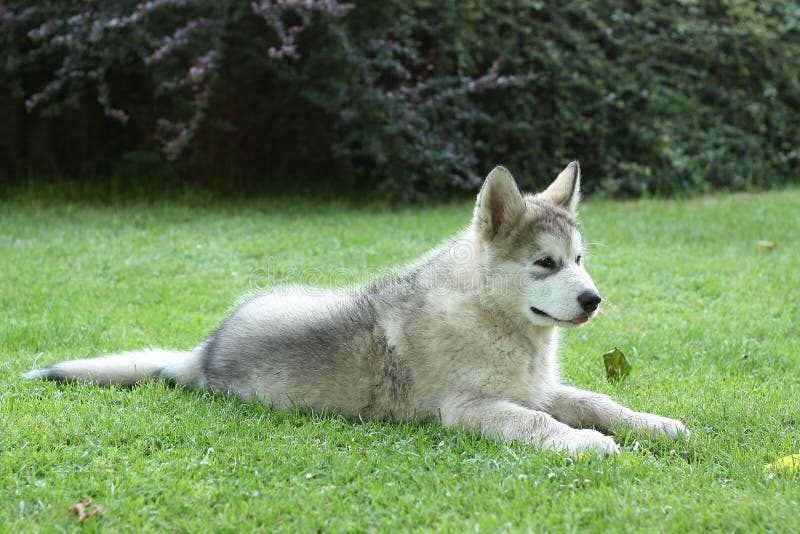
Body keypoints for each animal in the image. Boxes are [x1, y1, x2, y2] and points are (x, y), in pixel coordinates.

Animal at [25, 164, 688, 456]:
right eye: (544, 264)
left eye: (579, 259)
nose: (593, 299)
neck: (495, 320)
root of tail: (202, 354)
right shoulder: (472, 409)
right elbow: (539, 425)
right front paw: (586, 444)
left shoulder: (540, 388)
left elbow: (598, 401)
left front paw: (656, 425)